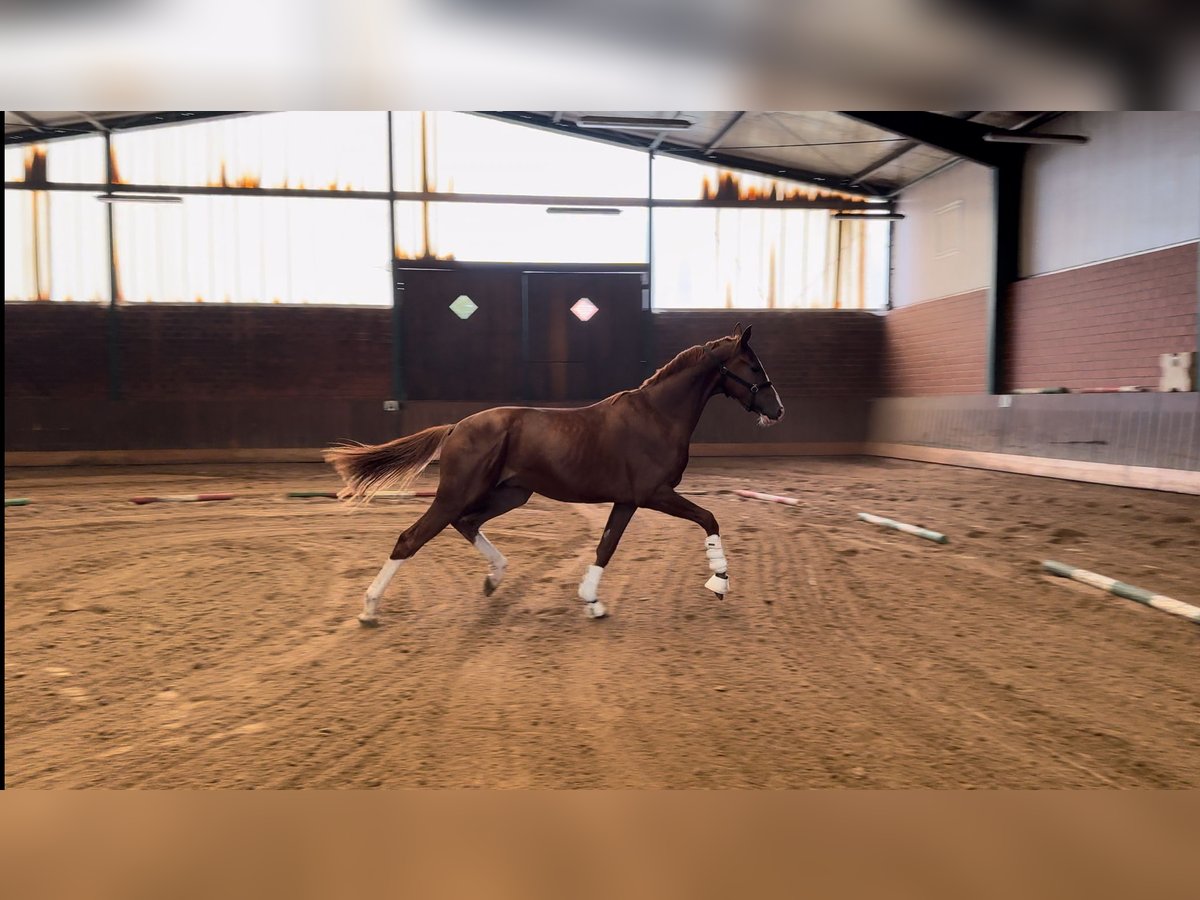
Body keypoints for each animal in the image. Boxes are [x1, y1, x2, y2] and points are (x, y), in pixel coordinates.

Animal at [324, 324, 782, 628]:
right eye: (754, 367)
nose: (777, 410)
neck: (657, 416)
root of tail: (455, 427)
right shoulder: (655, 493)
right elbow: (709, 518)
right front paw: (719, 581)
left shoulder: (628, 500)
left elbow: (606, 546)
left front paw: (592, 602)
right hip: (459, 493)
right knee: (410, 538)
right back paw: (369, 609)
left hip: (510, 494)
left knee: (466, 523)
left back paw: (493, 578)